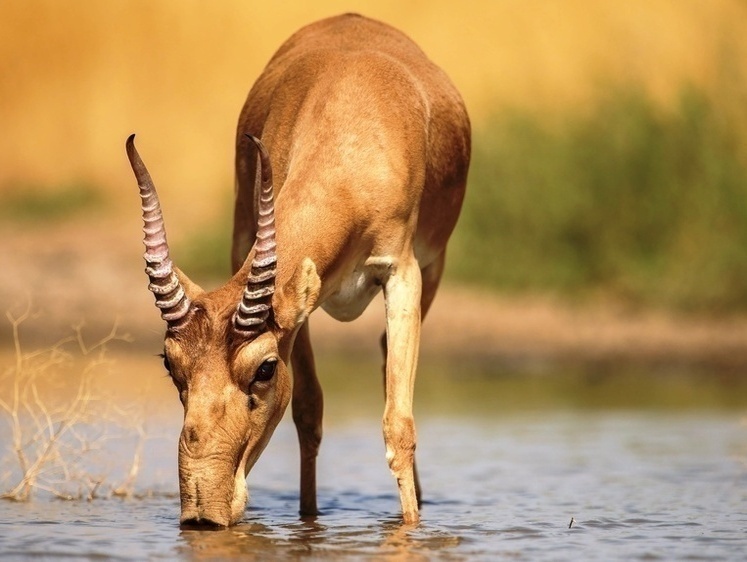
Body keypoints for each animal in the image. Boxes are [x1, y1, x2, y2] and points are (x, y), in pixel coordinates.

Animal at [125, 12, 470, 524]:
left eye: (265, 368)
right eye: (171, 364)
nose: (203, 513)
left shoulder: (402, 273)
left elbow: (398, 426)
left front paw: (410, 527)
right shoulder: (293, 299)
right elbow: (308, 411)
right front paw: (309, 522)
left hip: (433, 271)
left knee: (388, 361)